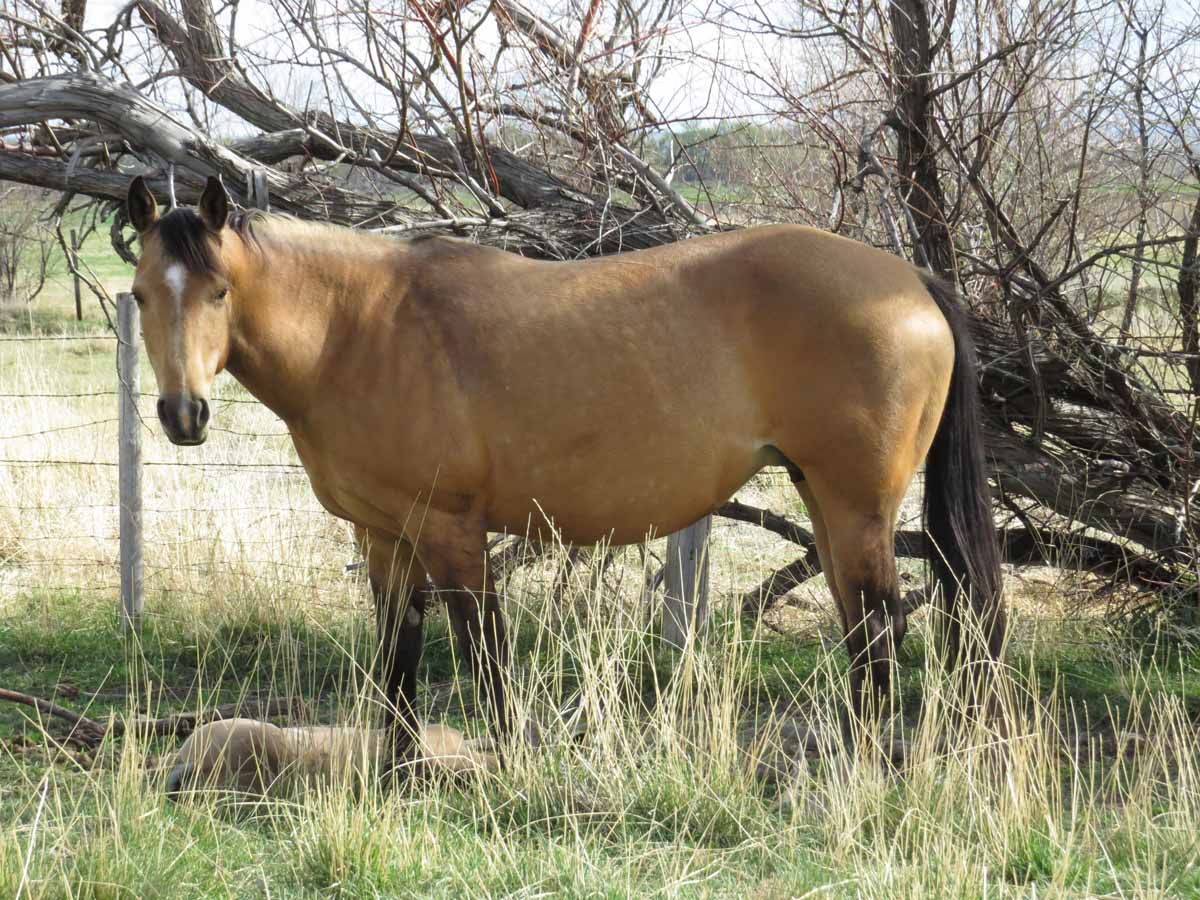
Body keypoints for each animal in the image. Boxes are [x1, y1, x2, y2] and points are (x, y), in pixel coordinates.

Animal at [126, 175, 1004, 767]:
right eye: (138, 294)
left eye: (219, 290)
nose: (182, 414)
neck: (361, 327)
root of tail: (909, 279)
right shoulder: (386, 536)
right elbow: (396, 661)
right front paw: (400, 776)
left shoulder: (451, 532)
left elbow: (483, 658)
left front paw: (508, 772)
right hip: (823, 499)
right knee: (864, 629)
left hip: (856, 507)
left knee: (881, 629)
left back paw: (863, 768)